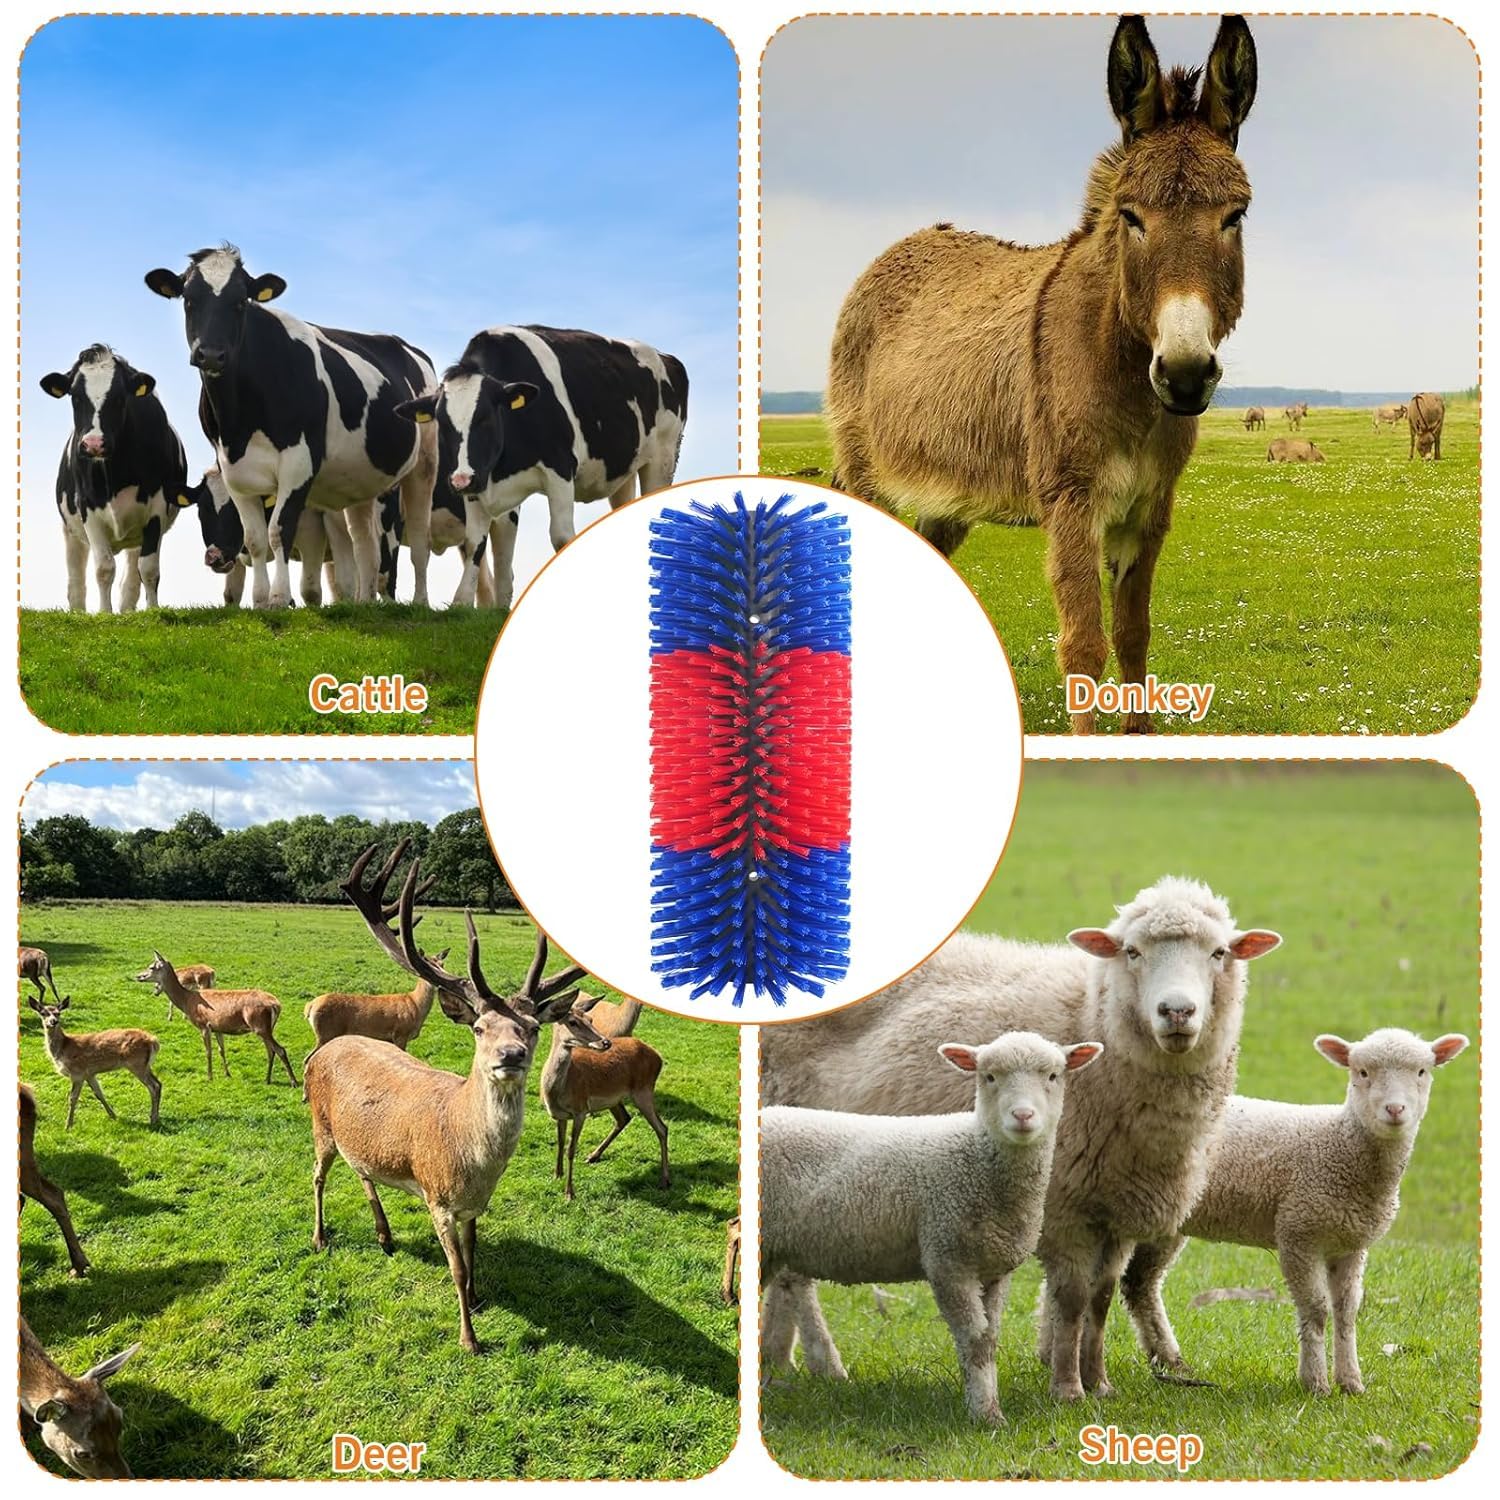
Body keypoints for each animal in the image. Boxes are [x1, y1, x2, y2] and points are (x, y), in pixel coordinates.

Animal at [29, 997, 161, 1129]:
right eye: (43, 1013)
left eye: (58, 1013)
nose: (53, 1021)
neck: (63, 1048)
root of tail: (153, 1041)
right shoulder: (89, 1074)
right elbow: (99, 1093)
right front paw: (113, 1115)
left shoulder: (77, 1072)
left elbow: (72, 1098)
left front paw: (68, 1125)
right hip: (145, 1065)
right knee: (159, 1083)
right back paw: (155, 1118)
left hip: (136, 1064)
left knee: (153, 1086)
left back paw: (153, 1119)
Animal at [141, 953, 297, 1085]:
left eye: (152, 967)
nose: (139, 976)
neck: (187, 1002)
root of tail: (276, 1005)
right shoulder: (218, 1027)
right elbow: (222, 1050)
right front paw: (227, 1073)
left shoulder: (204, 1025)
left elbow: (208, 1052)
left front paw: (209, 1077)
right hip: (266, 1028)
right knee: (271, 1051)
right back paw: (267, 1079)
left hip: (260, 1025)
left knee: (280, 1049)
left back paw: (293, 1081)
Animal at [307, 841, 612, 1353]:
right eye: (479, 1027)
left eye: (532, 1027)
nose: (511, 1055)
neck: (471, 1164)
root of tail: (324, 1050)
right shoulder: (437, 1198)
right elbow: (453, 1266)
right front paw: (470, 1338)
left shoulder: (473, 1206)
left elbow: (472, 1257)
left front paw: (478, 1296)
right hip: (319, 1125)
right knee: (317, 1176)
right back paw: (319, 1238)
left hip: (358, 1141)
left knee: (363, 1171)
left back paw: (385, 1236)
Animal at [761, 1031, 1103, 1424]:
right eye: (989, 1077)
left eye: (1052, 1076)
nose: (1022, 1116)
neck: (976, 1156)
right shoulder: (947, 1257)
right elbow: (974, 1340)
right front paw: (986, 1415)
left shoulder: (994, 1269)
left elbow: (990, 1338)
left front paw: (987, 1404)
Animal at [1120, 1027, 1470, 1395]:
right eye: (1362, 1072)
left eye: (1422, 1072)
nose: (1395, 1109)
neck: (1340, 1145)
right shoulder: (1298, 1233)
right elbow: (1315, 1309)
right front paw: (1315, 1382)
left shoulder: (1350, 1244)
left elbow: (1347, 1310)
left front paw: (1350, 1382)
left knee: (1140, 1285)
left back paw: (1169, 1360)